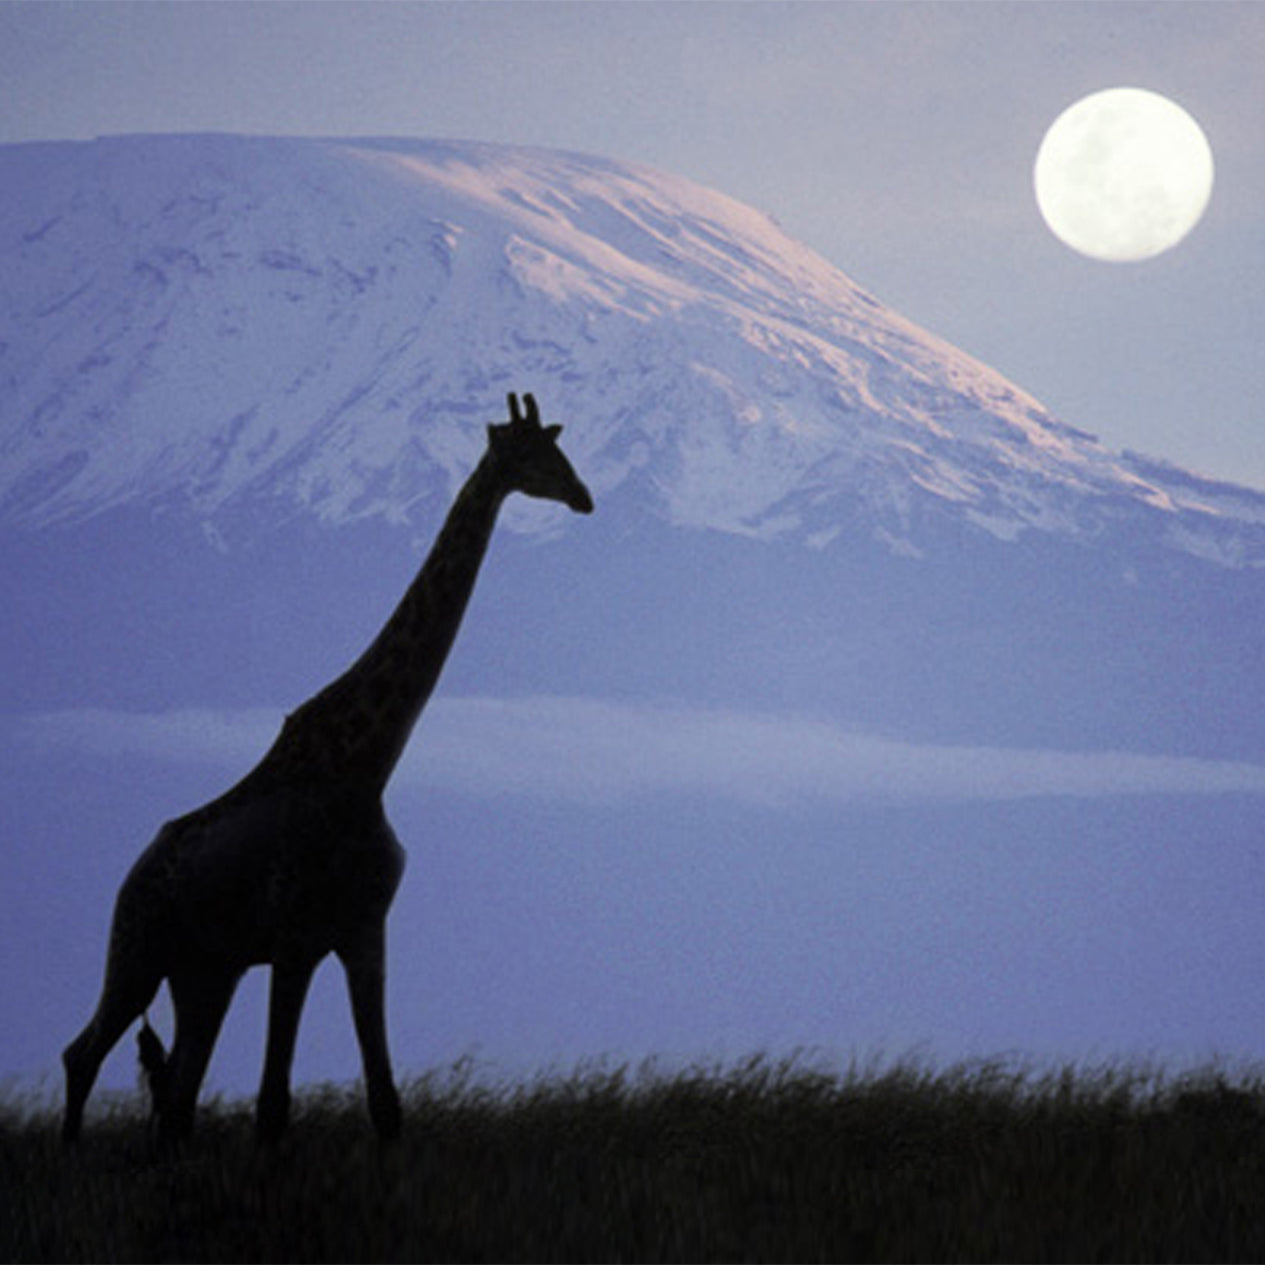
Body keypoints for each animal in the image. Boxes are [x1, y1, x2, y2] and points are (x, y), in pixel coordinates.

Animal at [59, 392, 592, 1148]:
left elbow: (385, 1101)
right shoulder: (294, 938)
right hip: (136, 949)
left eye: (559, 448)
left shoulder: (363, 930)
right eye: (531, 455)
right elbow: (272, 1105)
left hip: (204, 973)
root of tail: (130, 873)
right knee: (85, 1053)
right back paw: (72, 1151)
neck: (368, 765)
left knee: (177, 1098)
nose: (583, 495)